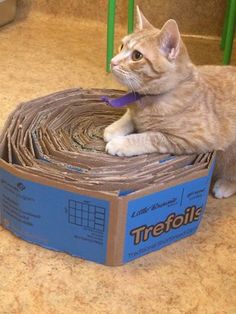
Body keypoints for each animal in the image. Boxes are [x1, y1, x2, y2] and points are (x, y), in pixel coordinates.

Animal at [103, 6, 236, 199]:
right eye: (121, 46)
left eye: (137, 56)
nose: (113, 62)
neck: (146, 101)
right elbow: (130, 116)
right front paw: (114, 129)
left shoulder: (192, 139)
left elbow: (150, 136)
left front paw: (121, 143)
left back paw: (226, 185)